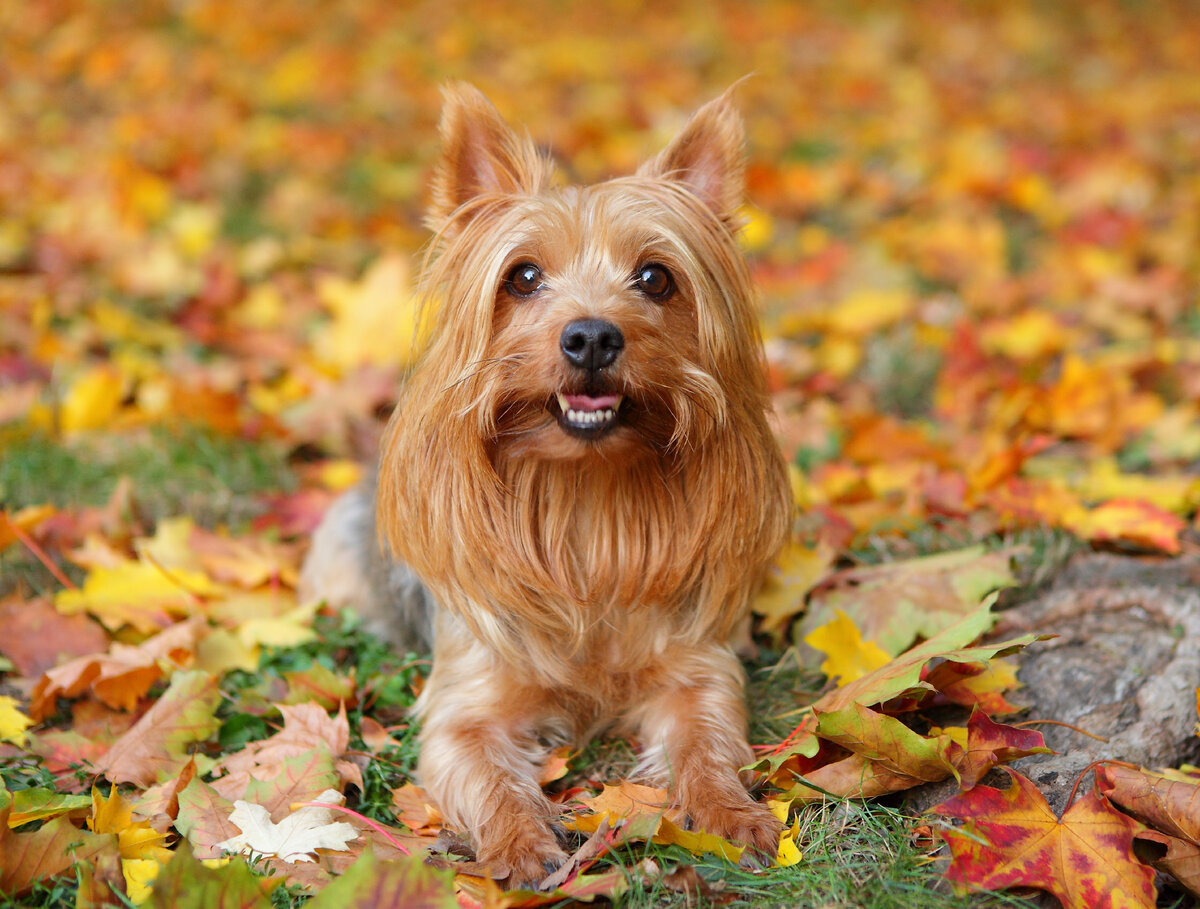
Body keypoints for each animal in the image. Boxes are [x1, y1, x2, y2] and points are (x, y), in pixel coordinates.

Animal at [300, 83, 792, 882]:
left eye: (656, 278)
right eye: (523, 276)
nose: (591, 335)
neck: (583, 497)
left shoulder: (696, 669)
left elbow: (707, 740)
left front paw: (732, 812)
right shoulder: (466, 704)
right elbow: (486, 772)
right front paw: (521, 845)